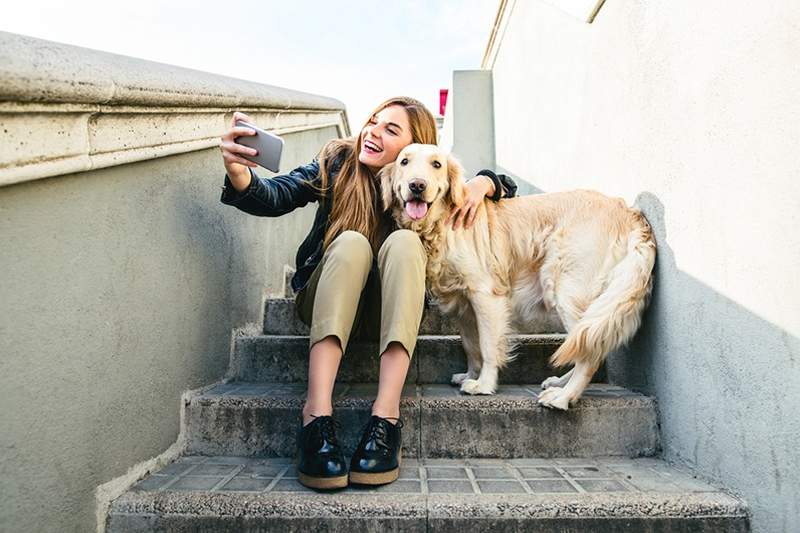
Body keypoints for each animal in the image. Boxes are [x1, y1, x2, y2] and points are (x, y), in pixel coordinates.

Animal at [382, 143, 656, 410]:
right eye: (404, 161)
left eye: (437, 164)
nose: (417, 185)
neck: (440, 224)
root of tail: (630, 212)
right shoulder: (463, 303)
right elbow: (471, 345)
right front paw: (471, 375)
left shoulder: (485, 293)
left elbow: (488, 346)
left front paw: (483, 385)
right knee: (585, 343)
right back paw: (559, 383)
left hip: (567, 289)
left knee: (589, 353)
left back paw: (563, 397)